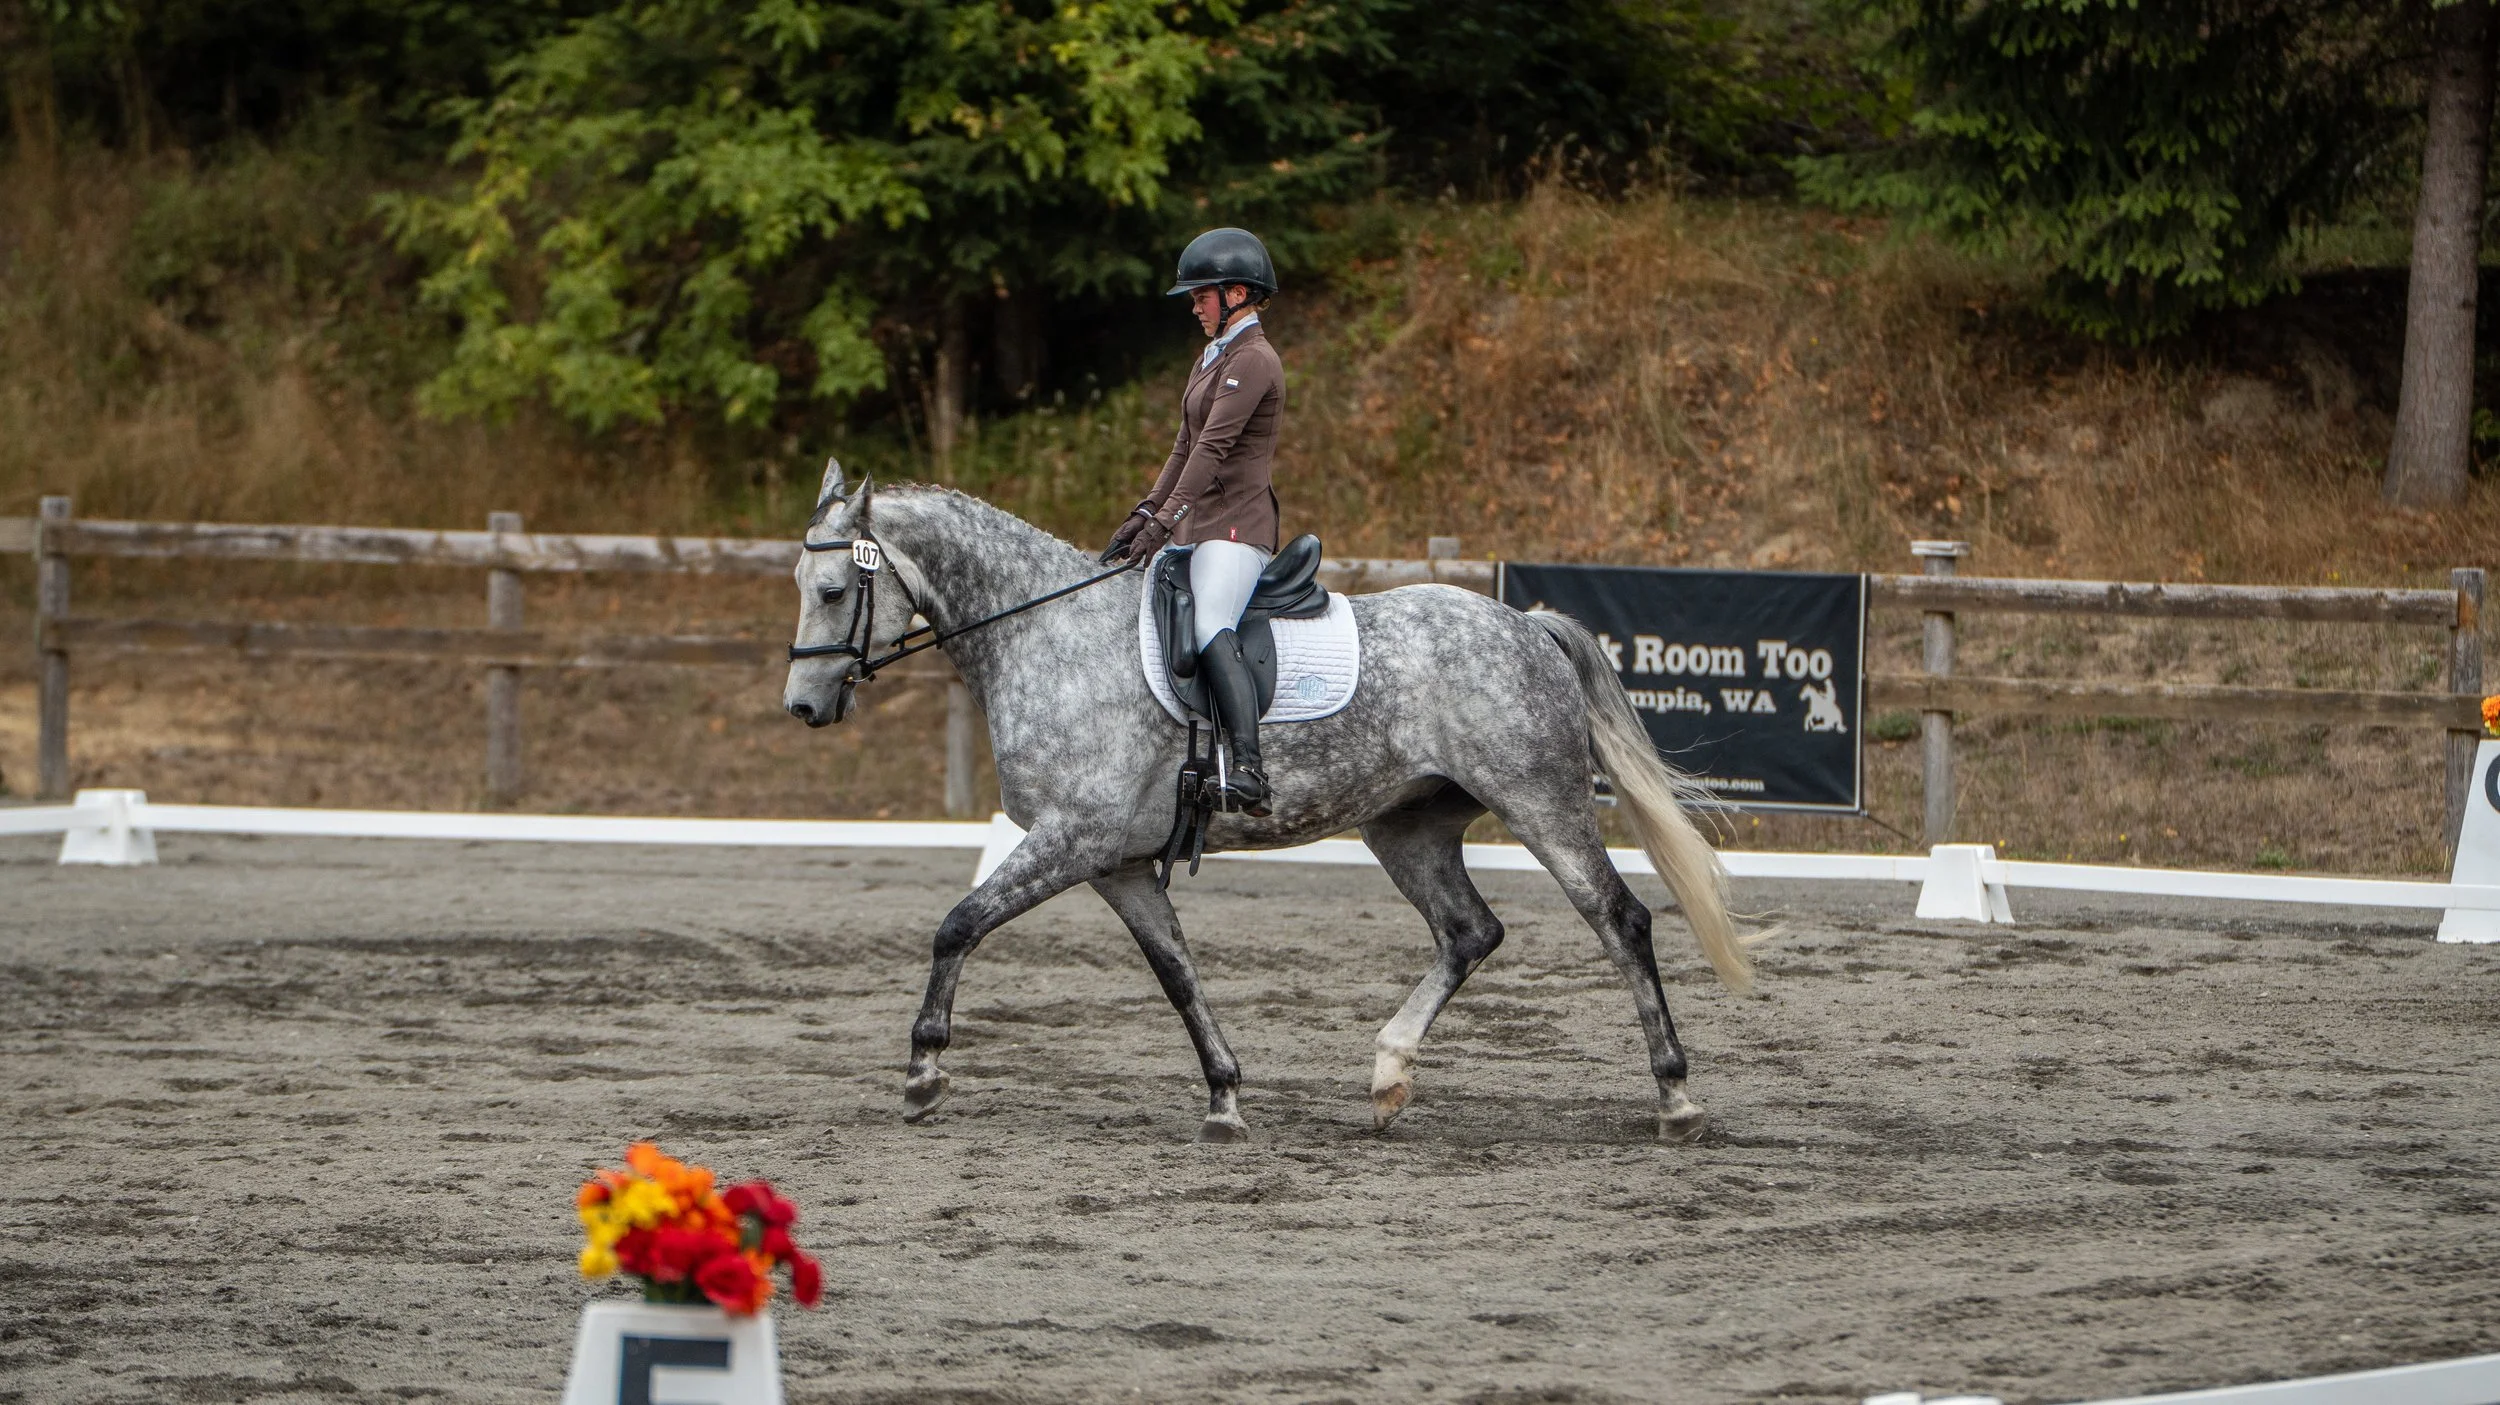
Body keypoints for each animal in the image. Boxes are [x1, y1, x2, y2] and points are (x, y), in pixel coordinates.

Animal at [782, 461, 1754, 1144]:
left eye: (832, 589)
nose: (803, 707)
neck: (1044, 632)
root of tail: (1526, 624)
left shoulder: (1071, 837)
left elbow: (959, 923)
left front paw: (923, 1071)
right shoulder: (1116, 862)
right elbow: (1177, 973)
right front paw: (1225, 1097)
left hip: (1538, 799)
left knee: (1618, 917)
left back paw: (1675, 1096)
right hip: (1406, 825)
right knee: (1470, 931)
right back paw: (1387, 1077)